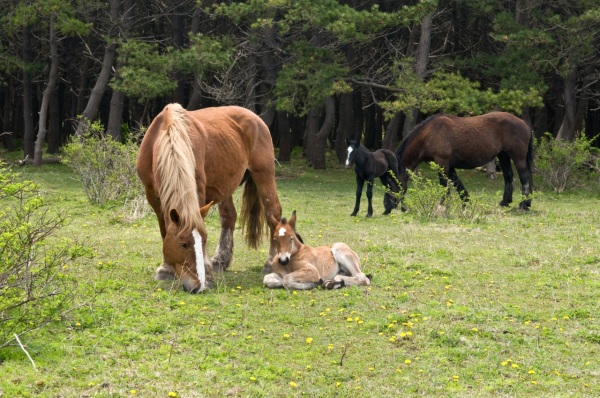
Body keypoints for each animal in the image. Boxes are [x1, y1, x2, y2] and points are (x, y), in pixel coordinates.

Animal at [137, 104, 282, 294]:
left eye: (204, 241)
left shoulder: (197, 191)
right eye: (183, 244)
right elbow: (164, 231)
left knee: (273, 213)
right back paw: (221, 260)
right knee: (229, 217)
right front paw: (166, 269)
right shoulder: (153, 197)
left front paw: (206, 271)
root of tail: (256, 118)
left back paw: (270, 262)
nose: (197, 285)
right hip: (226, 186)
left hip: (264, 175)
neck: (166, 135)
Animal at [396, 111, 532, 210]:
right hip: (503, 156)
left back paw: (524, 204)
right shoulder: (449, 165)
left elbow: (444, 184)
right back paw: (505, 202)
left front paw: (443, 204)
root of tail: (523, 122)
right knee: (508, 176)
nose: (401, 207)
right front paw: (466, 202)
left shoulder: (442, 163)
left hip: (518, 157)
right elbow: (457, 183)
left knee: (525, 177)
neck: (429, 134)